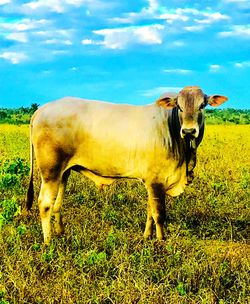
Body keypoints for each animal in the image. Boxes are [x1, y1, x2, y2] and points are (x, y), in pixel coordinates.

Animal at [26, 86, 228, 245]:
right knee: (45, 203)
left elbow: (150, 210)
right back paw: (48, 241)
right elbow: (159, 214)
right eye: (179, 106)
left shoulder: (151, 182)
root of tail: (41, 110)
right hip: (50, 171)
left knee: (57, 203)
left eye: (202, 105)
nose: (188, 131)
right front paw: (161, 240)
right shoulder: (156, 181)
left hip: (63, 172)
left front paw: (147, 236)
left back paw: (60, 233)